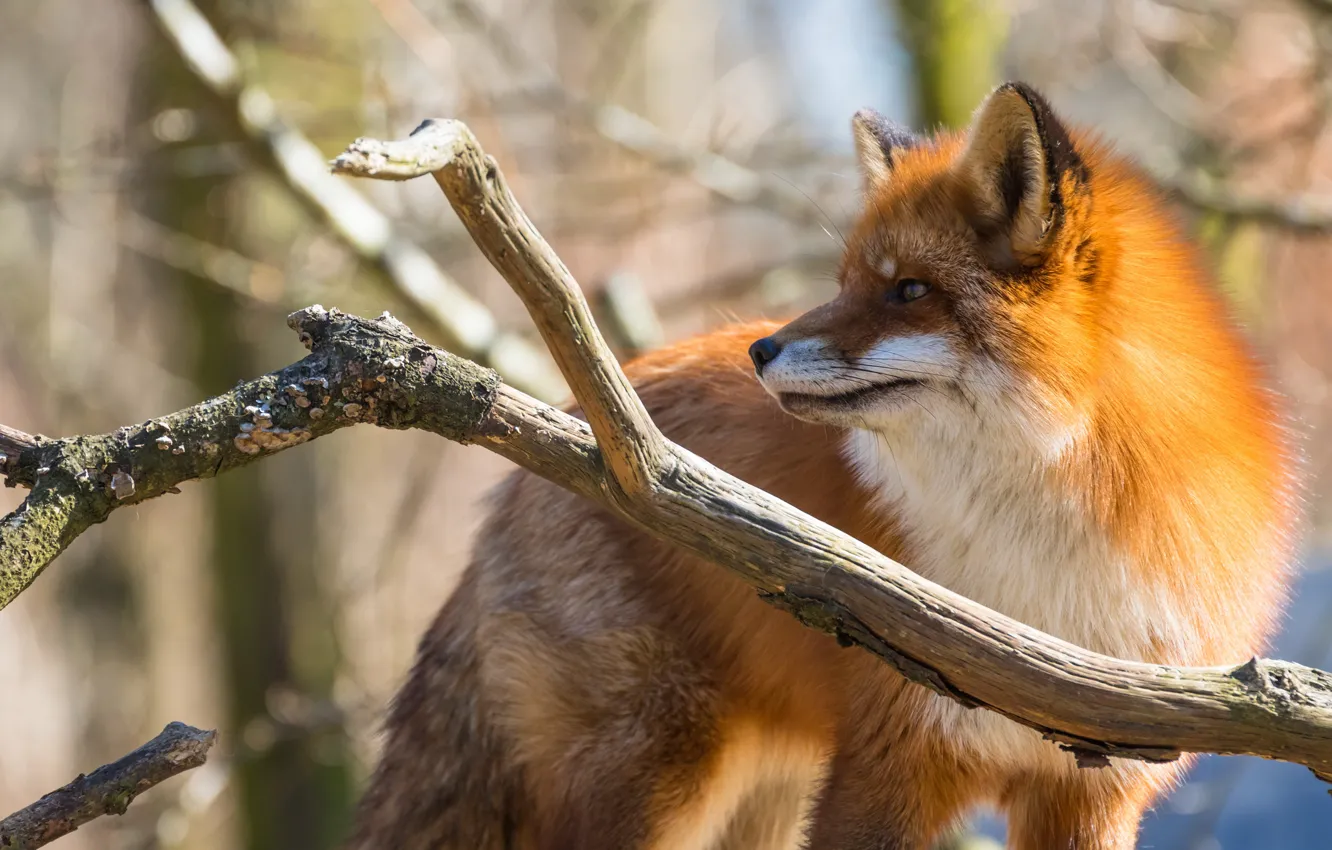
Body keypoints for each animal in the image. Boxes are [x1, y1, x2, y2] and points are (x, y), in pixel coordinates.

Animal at [347, 82, 1298, 849]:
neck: (1045, 581)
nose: (762, 350)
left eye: (909, 290)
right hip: (660, 772)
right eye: (843, 281)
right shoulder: (890, 762)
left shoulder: (1092, 794)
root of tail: (560, 432)